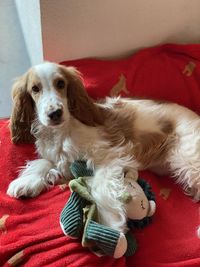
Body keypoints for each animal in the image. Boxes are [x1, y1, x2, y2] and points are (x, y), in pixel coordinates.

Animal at [6, 61, 200, 233]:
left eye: (60, 83)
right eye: (35, 89)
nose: (55, 113)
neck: (62, 130)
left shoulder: (109, 157)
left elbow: (99, 186)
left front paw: (108, 226)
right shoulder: (62, 160)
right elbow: (44, 162)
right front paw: (26, 182)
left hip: (187, 157)